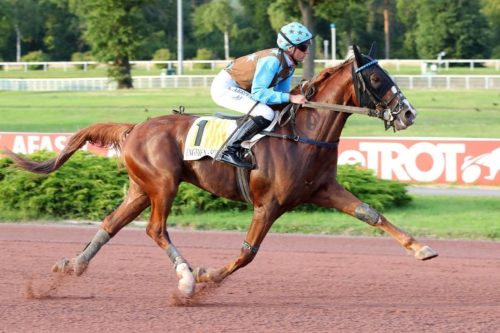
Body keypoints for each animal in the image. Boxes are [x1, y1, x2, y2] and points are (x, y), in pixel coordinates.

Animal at [6, 44, 438, 296]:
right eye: (377, 77)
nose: (409, 114)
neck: (304, 133)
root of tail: (133, 128)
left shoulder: (323, 190)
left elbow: (371, 214)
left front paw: (422, 249)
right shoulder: (269, 204)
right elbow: (248, 253)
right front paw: (207, 276)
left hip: (141, 188)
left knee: (112, 223)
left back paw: (71, 267)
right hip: (163, 184)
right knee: (155, 229)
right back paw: (185, 278)